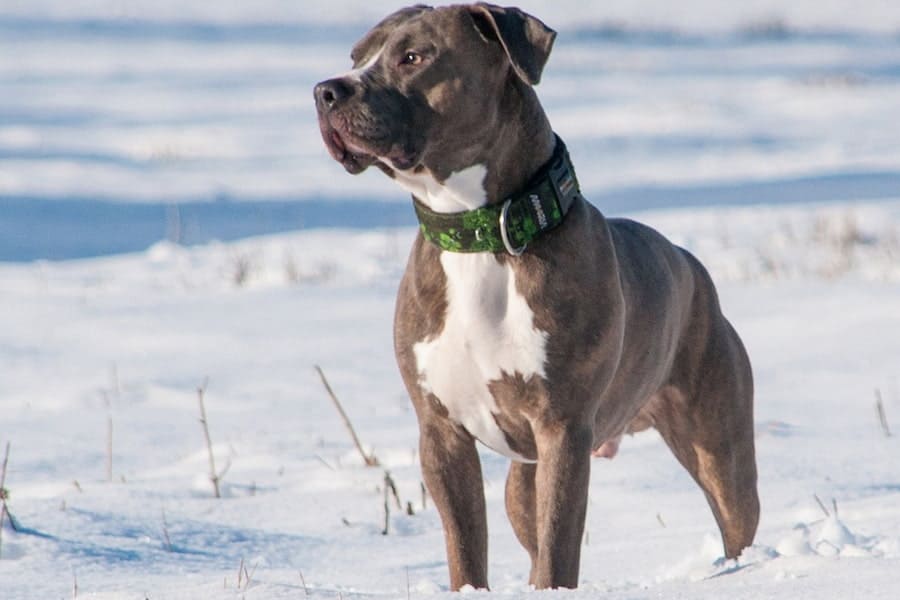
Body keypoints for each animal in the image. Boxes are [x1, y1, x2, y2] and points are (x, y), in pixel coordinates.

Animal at [312, 3, 756, 592]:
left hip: (719, 447)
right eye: (357, 55)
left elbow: (559, 549)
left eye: (414, 56)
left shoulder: (561, 428)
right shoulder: (442, 433)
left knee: (735, 518)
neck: (478, 232)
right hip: (523, 480)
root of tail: (691, 265)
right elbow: (466, 546)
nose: (326, 90)